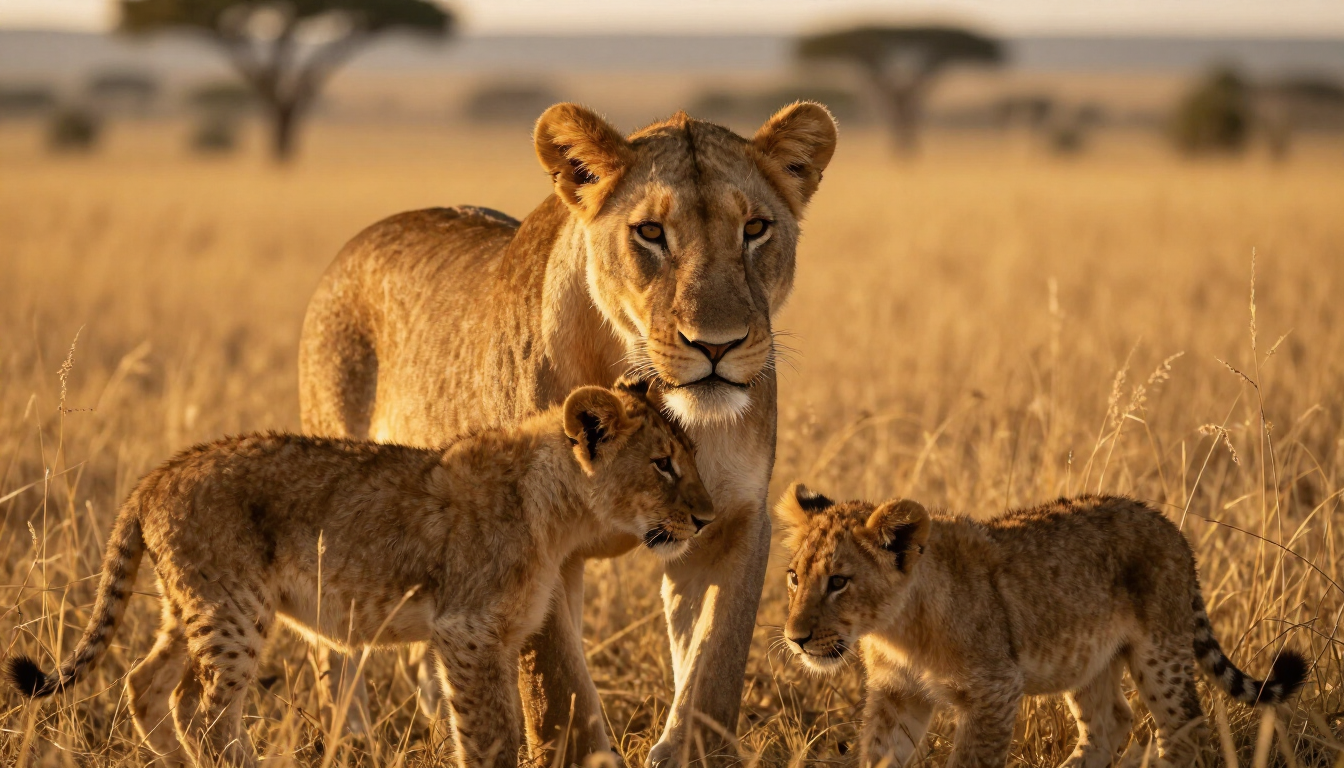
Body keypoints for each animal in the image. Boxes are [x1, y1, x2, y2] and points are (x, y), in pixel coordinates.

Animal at [5, 383, 713, 768]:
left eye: (690, 458)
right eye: (663, 464)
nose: (707, 518)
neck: (559, 509)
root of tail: (159, 472)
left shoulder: (499, 636)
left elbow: (497, 724)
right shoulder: (466, 630)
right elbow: (490, 734)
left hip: (191, 606)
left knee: (146, 683)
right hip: (233, 610)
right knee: (203, 713)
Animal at [297, 102, 837, 763]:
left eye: (756, 228)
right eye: (650, 233)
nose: (717, 345)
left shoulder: (731, 520)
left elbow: (715, 666)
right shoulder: (528, 532)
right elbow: (558, 689)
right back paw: (348, 738)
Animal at [776, 486, 1308, 768]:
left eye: (839, 582)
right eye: (794, 577)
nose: (795, 640)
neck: (896, 630)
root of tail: (1167, 524)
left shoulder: (994, 690)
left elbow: (971, 760)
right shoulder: (897, 695)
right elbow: (879, 754)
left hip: (1161, 654)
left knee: (1185, 729)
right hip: (1089, 659)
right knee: (1110, 723)